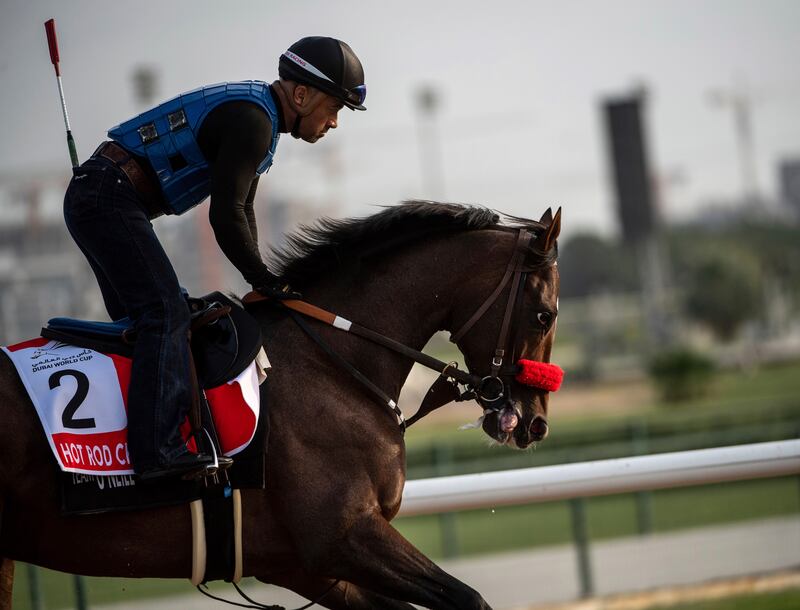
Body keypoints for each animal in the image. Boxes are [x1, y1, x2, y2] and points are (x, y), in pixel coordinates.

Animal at [0, 201, 564, 608]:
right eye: (545, 314)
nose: (536, 423)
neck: (332, 362)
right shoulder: (343, 535)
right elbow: (470, 599)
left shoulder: (298, 564)